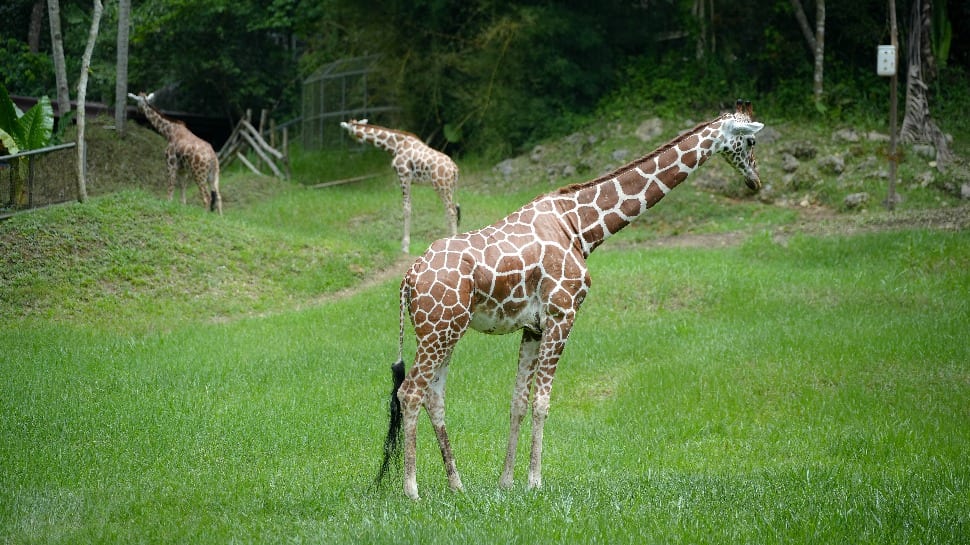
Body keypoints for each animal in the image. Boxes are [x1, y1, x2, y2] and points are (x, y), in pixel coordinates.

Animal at [339, 119, 459, 253]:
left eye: (349, 131)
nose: (357, 142)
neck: (395, 145)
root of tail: (454, 169)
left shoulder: (404, 175)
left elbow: (406, 208)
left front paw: (405, 247)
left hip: (441, 187)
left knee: (452, 211)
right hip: (449, 188)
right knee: (450, 211)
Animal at [376, 100, 764, 500]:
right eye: (750, 140)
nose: (755, 181)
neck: (580, 225)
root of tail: (408, 278)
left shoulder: (533, 326)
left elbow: (518, 401)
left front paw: (506, 481)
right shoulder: (563, 313)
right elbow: (542, 402)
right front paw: (534, 481)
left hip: (446, 331)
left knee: (434, 394)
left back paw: (457, 485)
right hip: (438, 330)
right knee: (410, 392)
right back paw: (411, 489)